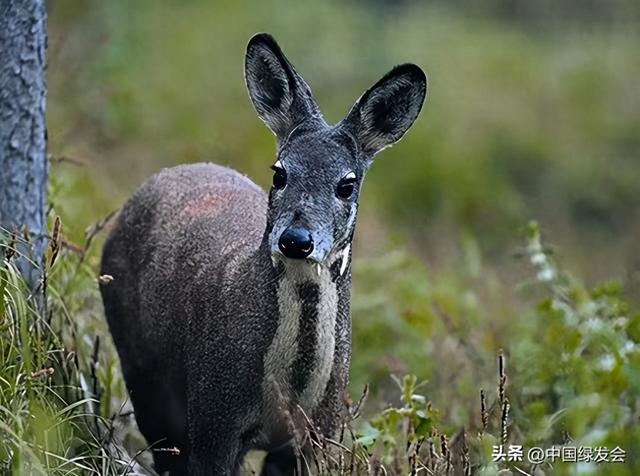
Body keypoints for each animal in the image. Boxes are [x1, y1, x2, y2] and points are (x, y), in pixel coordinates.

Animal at [99, 31, 424, 474]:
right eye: (279, 172)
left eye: (347, 184)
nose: (296, 239)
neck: (288, 393)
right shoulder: (214, 418)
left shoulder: (319, 435)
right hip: (142, 368)